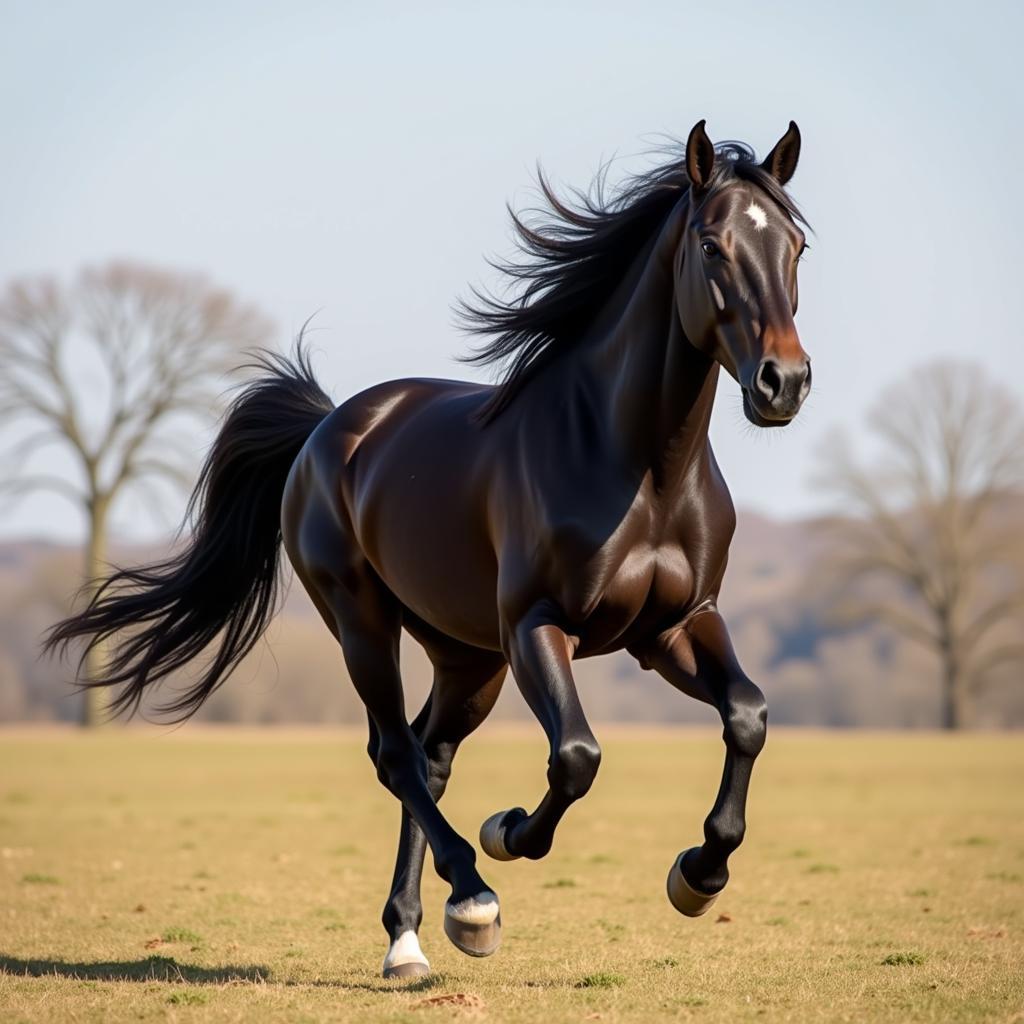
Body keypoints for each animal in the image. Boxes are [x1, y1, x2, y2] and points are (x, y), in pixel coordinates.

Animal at [48, 121, 811, 983]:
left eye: (796, 246)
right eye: (712, 245)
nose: (784, 383)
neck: (640, 465)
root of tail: (327, 427)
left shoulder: (674, 627)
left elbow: (747, 716)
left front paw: (699, 876)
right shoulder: (537, 626)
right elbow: (576, 756)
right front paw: (507, 833)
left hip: (466, 657)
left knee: (430, 754)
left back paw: (410, 937)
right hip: (365, 625)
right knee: (396, 754)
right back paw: (470, 902)